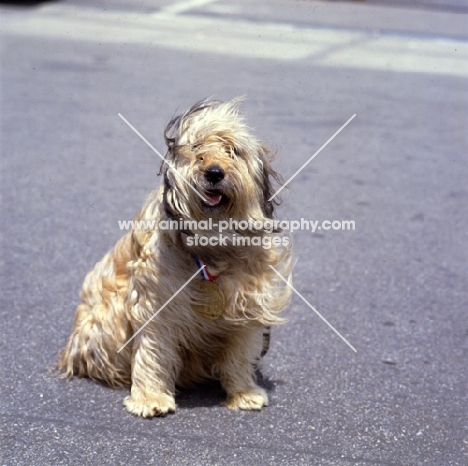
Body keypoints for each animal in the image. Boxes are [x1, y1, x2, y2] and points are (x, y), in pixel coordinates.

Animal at [58, 99, 292, 418]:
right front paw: (150, 398)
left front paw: (244, 391)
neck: (212, 247)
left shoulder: (248, 299)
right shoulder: (156, 299)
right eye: (197, 149)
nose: (214, 173)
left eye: (232, 150)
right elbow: (153, 348)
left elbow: (241, 349)